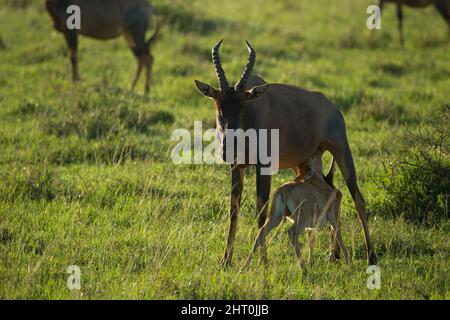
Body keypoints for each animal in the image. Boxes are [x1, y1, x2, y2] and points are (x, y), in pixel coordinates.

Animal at [195, 40, 378, 268]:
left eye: (243, 105)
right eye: (218, 104)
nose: (228, 151)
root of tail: (332, 107)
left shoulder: (263, 167)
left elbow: (261, 213)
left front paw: (263, 262)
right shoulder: (237, 167)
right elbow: (233, 210)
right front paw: (225, 261)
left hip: (341, 149)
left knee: (357, 198)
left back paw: (371, 256)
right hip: (304, 162)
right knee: (335, 190)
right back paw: (332, 255)